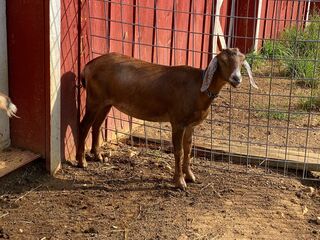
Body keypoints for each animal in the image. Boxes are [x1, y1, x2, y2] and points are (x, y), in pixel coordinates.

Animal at [75, 47, 258, 189]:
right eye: (223, 61)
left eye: (242, 60)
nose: (236, 79)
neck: (198, 89)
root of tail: (88, 65)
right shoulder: (178, 122)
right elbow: (178, 150)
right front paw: (180, 182)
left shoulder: (190, 125)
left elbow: (189, 148)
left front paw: (190, 176)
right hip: (94, 99)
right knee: (84, 125)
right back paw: (81, 161)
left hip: (106, 102)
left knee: (97, 125)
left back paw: (97, 156)